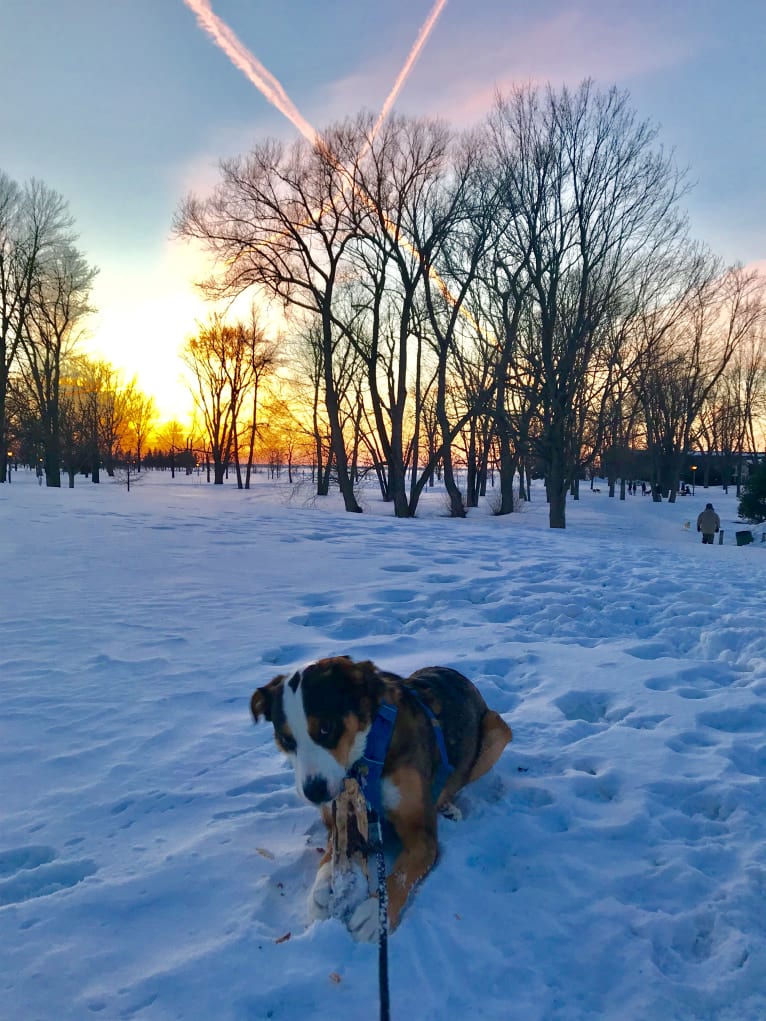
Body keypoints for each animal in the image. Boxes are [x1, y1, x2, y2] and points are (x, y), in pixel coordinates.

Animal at [252, 657, 512, 935]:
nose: (314, 792)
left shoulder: (421, 834)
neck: (364, 760)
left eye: (326, 728)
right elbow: (332, 851)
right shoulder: (340, 816)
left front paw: (376, 914)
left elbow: (403, 871)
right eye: (286, 739)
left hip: (496, 732)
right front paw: (322, 891)